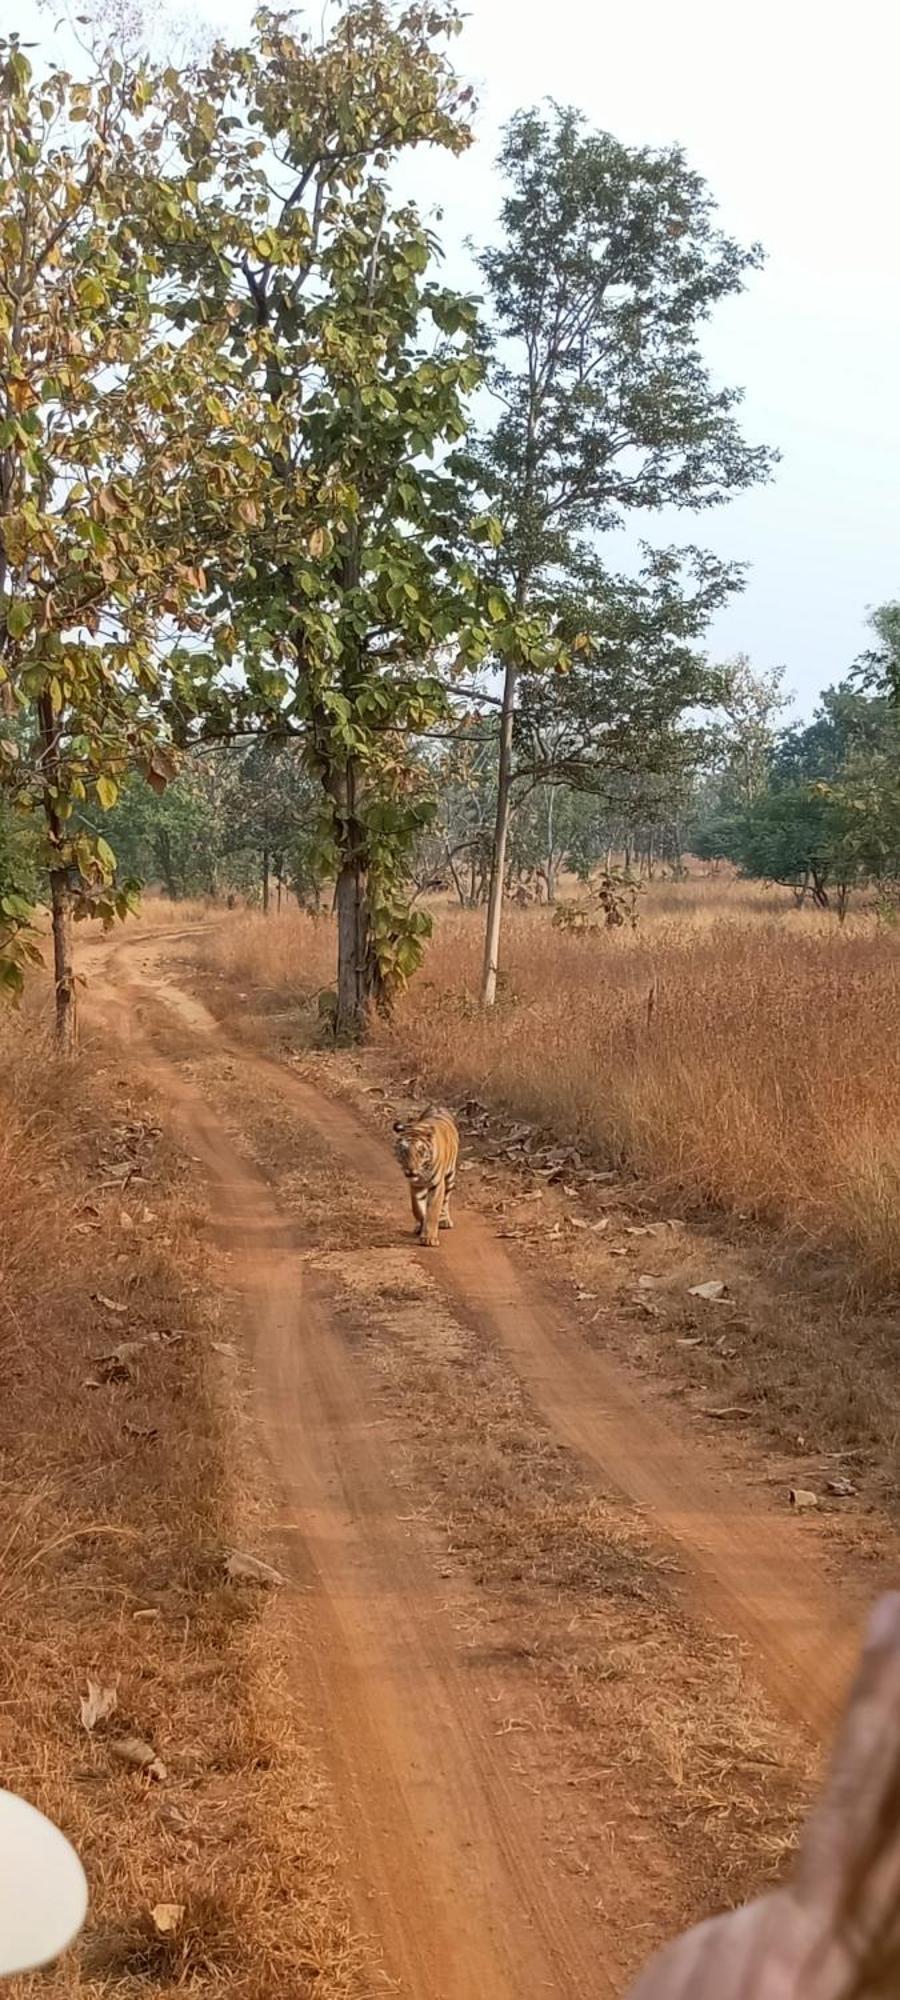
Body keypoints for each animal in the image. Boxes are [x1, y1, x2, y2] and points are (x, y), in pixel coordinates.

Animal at [394, 1112, 460, 1248]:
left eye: (420, 1151)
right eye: (404, 1151)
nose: (411, 1170)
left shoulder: (437, 1184)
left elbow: (433, 1211)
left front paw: (429, 1238)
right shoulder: (415, 1185)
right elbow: (417, 1208)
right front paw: (421, 1225)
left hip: (450, 1176)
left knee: (445, 1200)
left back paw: (445, 1220)